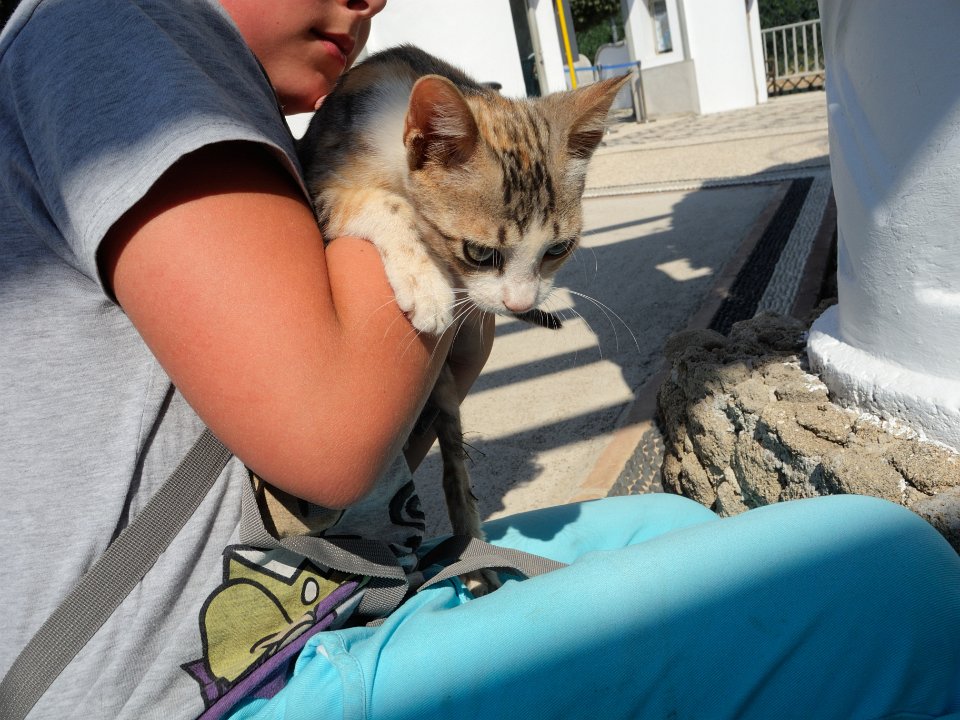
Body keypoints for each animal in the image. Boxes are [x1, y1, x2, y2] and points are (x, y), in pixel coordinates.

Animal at [297, 45, 627, 593]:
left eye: (557, 249)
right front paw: (426, 283)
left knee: (455, 461)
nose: (519, 304)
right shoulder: (321, 179)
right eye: (477, 252)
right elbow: (381, 203)